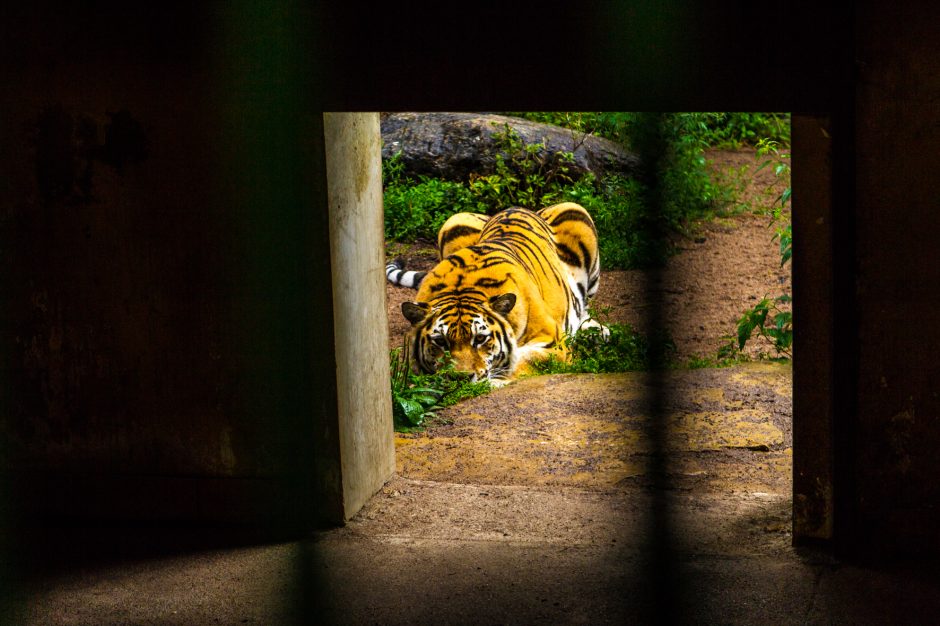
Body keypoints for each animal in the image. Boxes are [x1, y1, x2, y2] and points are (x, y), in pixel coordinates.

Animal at [386, 202, 604, 382]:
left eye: (480, 339)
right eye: (440, 341)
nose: (460, 379)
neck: (461, 288)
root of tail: (520, 208)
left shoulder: (553, 343)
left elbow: (524, 359)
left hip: (576, 211)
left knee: (584, 306)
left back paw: (597, 332)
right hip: (454, 221)